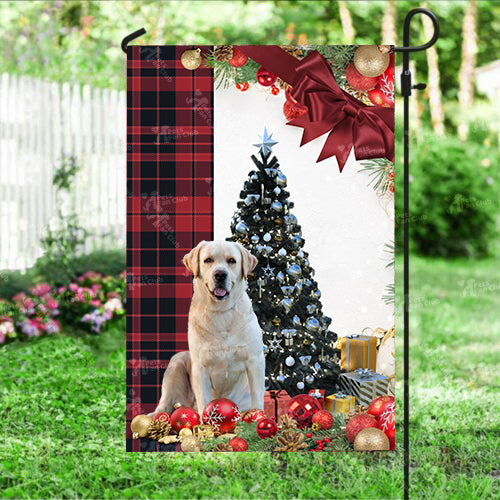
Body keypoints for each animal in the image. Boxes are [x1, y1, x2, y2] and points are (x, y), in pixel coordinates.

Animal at [149, 240, 264, 416]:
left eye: (231, 261)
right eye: (208, 260)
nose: (220, 274)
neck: (221, 313)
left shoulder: (255, 360)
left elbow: (257, 395)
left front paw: (259, 417)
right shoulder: (200, 366)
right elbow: (204, 399)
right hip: (177, 361)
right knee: (165, 402)